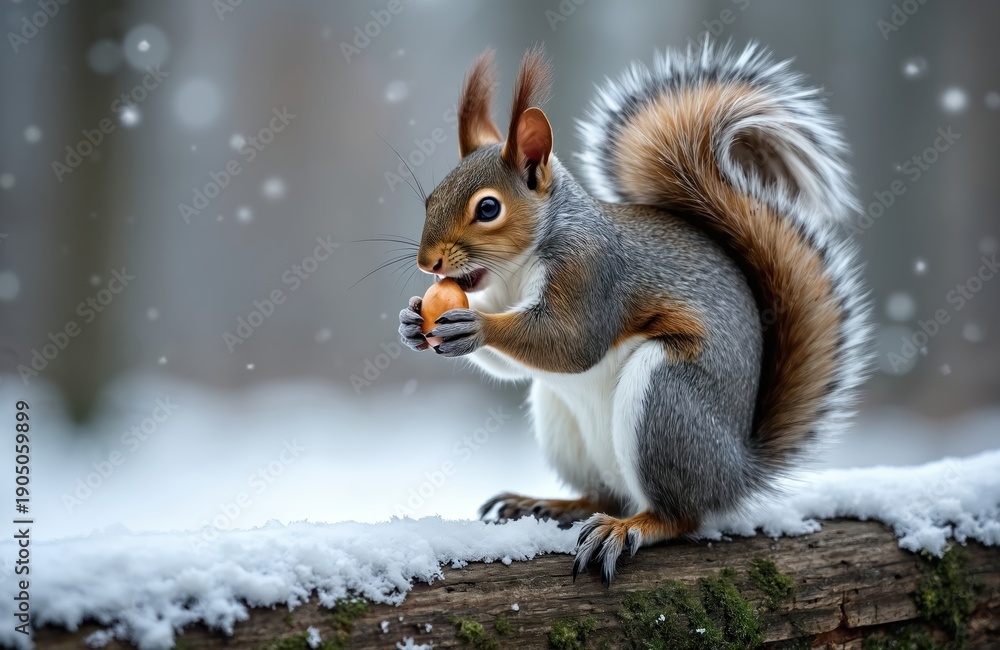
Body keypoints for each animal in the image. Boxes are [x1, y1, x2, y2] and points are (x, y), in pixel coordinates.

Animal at [398, 41, 870, 582]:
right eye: (429, 199)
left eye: (489, 209)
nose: (427, 262)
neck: (515, 271)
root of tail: (737, 471)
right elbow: (511, 365)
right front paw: (412, 320)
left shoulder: (592, 272)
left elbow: (572, 343)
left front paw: (475, 327)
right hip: (563, 421)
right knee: (604, 493)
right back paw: (550, 504)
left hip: (664, 401)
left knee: (679, 515)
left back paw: (627, 529)